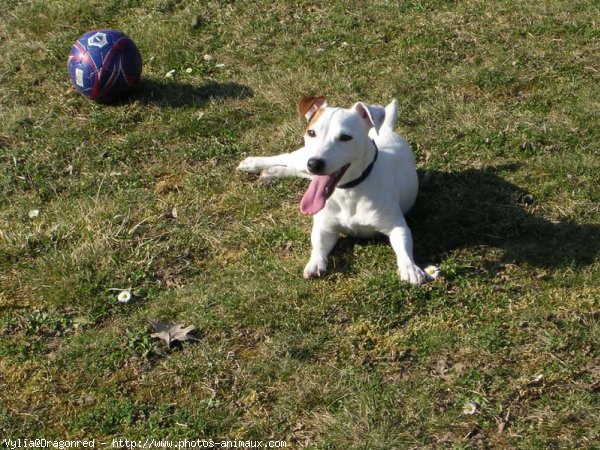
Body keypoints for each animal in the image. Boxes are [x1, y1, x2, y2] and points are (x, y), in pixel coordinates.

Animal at [237, 96, 424, 284]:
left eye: (345, 137)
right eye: (312, 132)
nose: (314, 164)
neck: (349, 191)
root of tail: (385, 130)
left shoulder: (395, 225)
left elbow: (403, 244)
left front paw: (410, 267)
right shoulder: (325, 228)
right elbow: (318, 245)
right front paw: (314, 262)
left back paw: (272, 172)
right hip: (302, 158)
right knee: (286, 158)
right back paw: (254, 163)